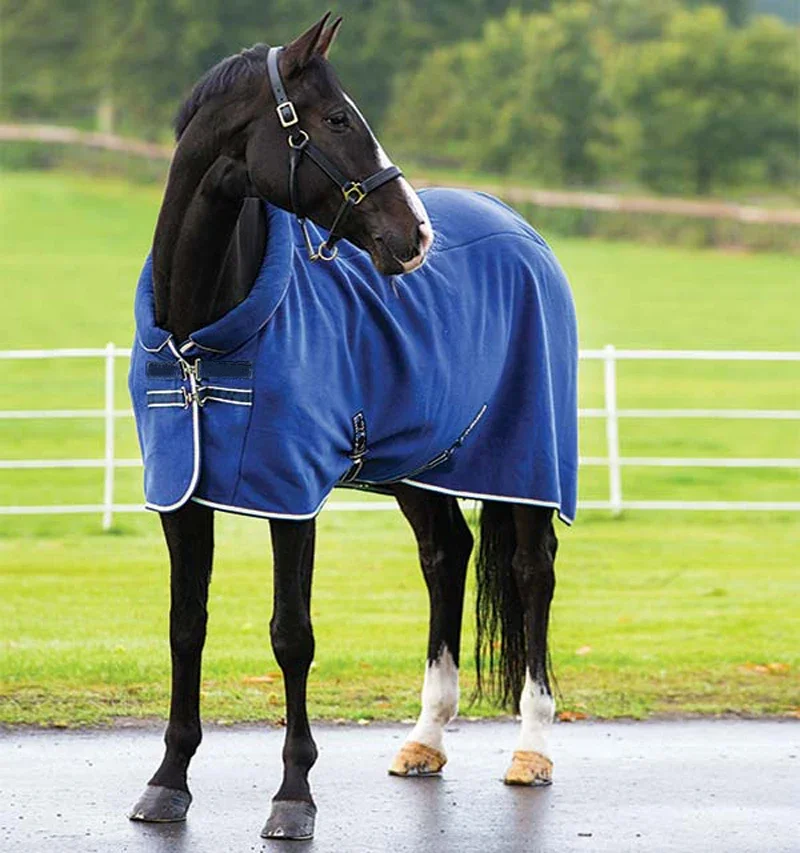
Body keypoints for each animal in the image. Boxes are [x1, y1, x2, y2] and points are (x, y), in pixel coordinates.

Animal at [126, 11, 576, 840]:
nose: (416, 236)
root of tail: (521, 229)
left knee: (533, 574)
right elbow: (185, 624)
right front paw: (167, 782)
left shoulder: (290, 497)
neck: (204, 337)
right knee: (445, 555)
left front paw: (293, 797)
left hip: (529, 463)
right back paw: (426, 737)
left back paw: (532, 747)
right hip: (423, 465)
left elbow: (291, 634)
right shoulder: (183, 496)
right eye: (336, 119)